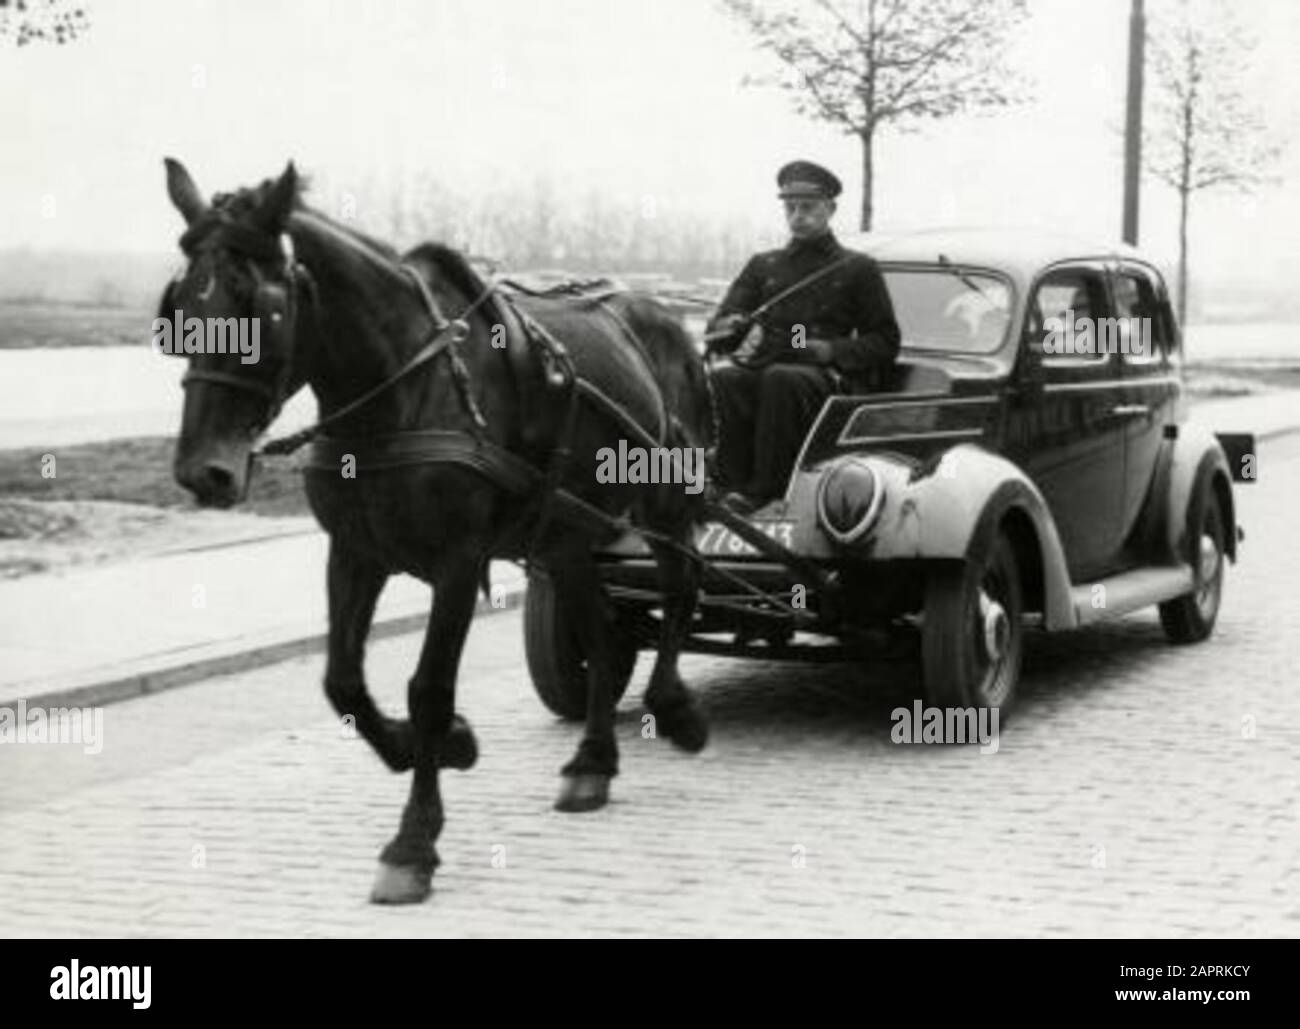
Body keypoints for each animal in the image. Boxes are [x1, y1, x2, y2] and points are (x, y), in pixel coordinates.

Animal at [162, 156, 717, 904]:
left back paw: (674, 707)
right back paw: (592, 761)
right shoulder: (354, 552)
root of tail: (671, 318)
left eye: (258, 305)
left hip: (666, 497)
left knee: (682, 582)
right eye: (179, 309)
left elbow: (427, 689)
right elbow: (343, 683)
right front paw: (440, 744)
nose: (206, 471)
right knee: (602, 632)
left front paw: (414, 840)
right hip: (566, 532)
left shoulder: (459, 560)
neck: (402, 387)